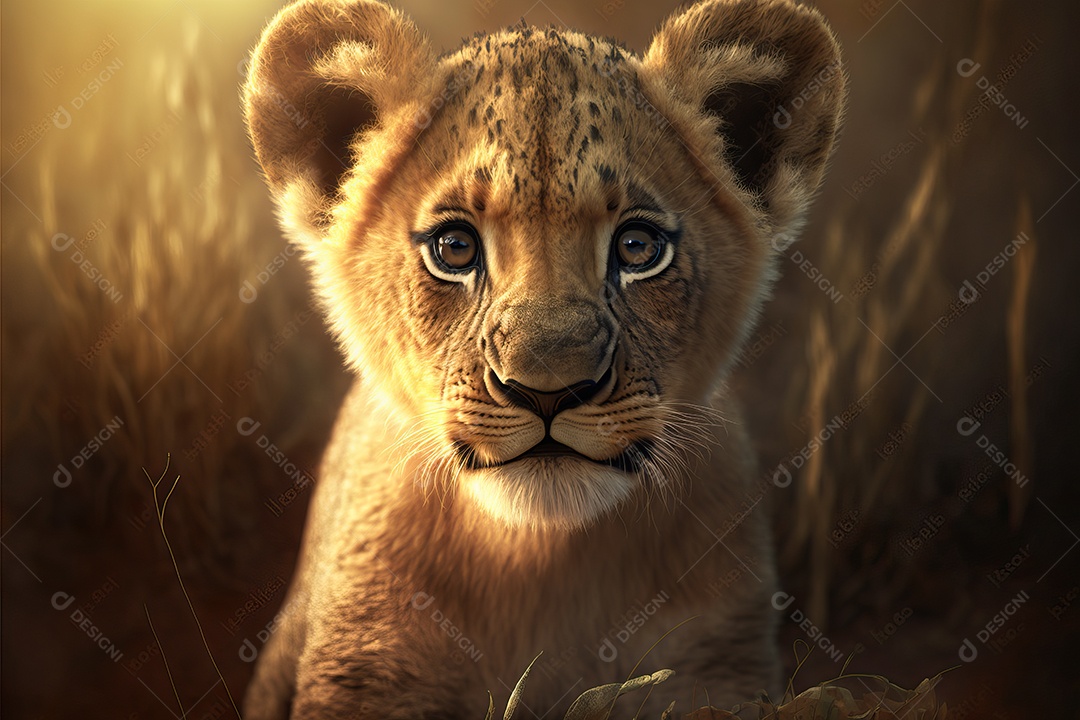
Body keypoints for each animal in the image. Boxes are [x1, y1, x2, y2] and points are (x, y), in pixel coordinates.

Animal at [240, 0, 846, 716]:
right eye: (454, 248)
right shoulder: (369, 669)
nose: (549, 390)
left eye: (638, 247)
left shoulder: (717, 663)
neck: (539, 556)